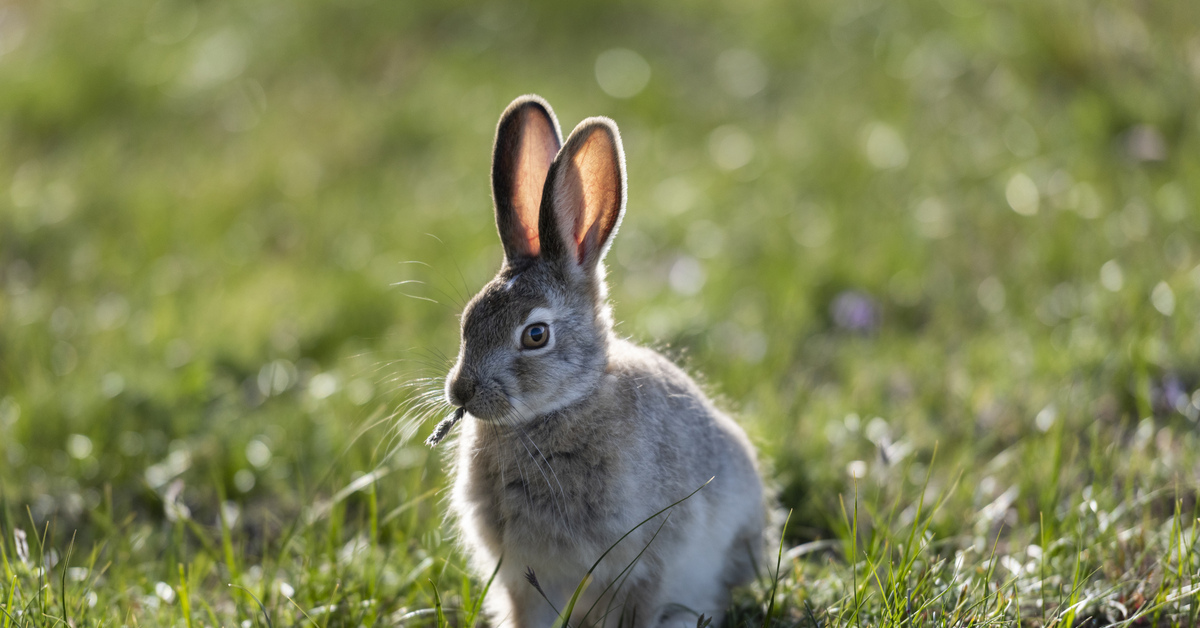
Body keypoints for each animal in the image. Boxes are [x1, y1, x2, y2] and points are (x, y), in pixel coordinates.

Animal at [444, 94, 768, 628]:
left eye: (535, 335)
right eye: (468, 319)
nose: (460, 392)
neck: (561, 408)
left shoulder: (644, 563)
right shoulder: (523, 578)